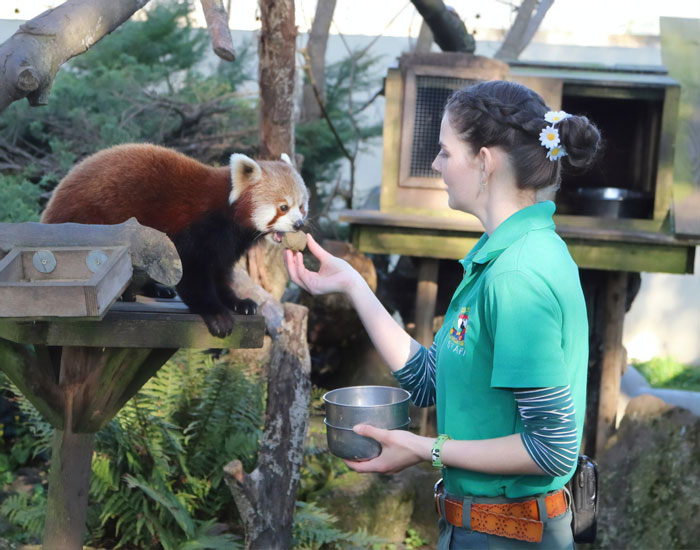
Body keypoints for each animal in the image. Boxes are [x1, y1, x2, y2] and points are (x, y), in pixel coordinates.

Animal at [41, 142, 308, 338]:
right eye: (283, 207)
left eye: (302, 206)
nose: (299, 224)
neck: (228, 211)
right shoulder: (197, 229)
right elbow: (193, 274)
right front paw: (216, 313)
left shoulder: (226, 245)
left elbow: (220, 273)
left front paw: (237, 302)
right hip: (92, 224)